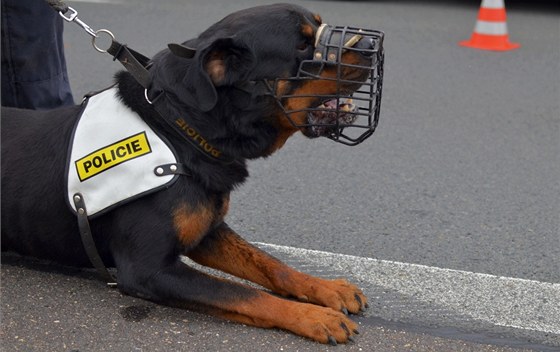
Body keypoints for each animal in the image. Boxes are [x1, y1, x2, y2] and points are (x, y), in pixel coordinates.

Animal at [1, 2, 380, 344]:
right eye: (302, 45)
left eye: (319, 25)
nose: (368, 45)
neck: (179, 126)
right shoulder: (149, 269)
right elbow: (244, 293)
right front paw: (314, 317)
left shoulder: (206, 230)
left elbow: (272, 265)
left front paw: (326, 288)